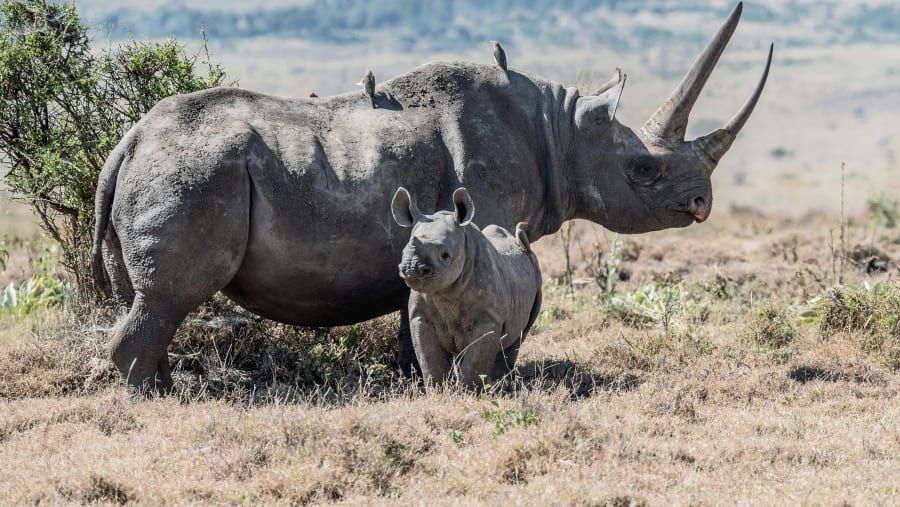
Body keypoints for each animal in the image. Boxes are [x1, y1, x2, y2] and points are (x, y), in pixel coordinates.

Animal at [391, 187, 542, 388]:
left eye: (445, 255)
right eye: (403, 251)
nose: (411, 268)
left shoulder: (488, 318)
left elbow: (475, 359)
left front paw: (469, 390)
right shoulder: (420, 315)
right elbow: (428, 358)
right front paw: (437, 389)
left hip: (536, 275)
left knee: (517, 337)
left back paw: (499, 383)